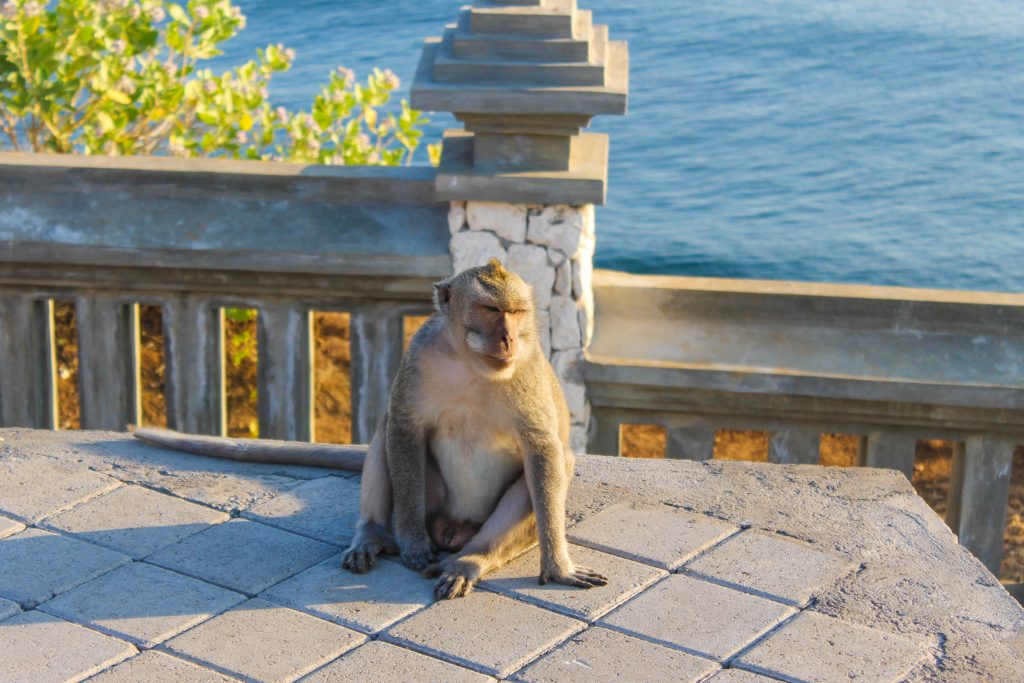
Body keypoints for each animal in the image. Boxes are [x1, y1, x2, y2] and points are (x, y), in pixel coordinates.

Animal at [132, 259, 602, 602]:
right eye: (491, 310)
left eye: (517, 313)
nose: (507, 340)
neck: (471, 365)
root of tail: (454, 530)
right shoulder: (418, 358)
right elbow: (405, 428)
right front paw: (412, 544)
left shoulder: (528, 373)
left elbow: (542, 451)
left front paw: (557, 567)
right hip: (432, 503)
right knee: (383, 431)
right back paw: (374, 534)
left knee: (554, 466)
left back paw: (470, 561)